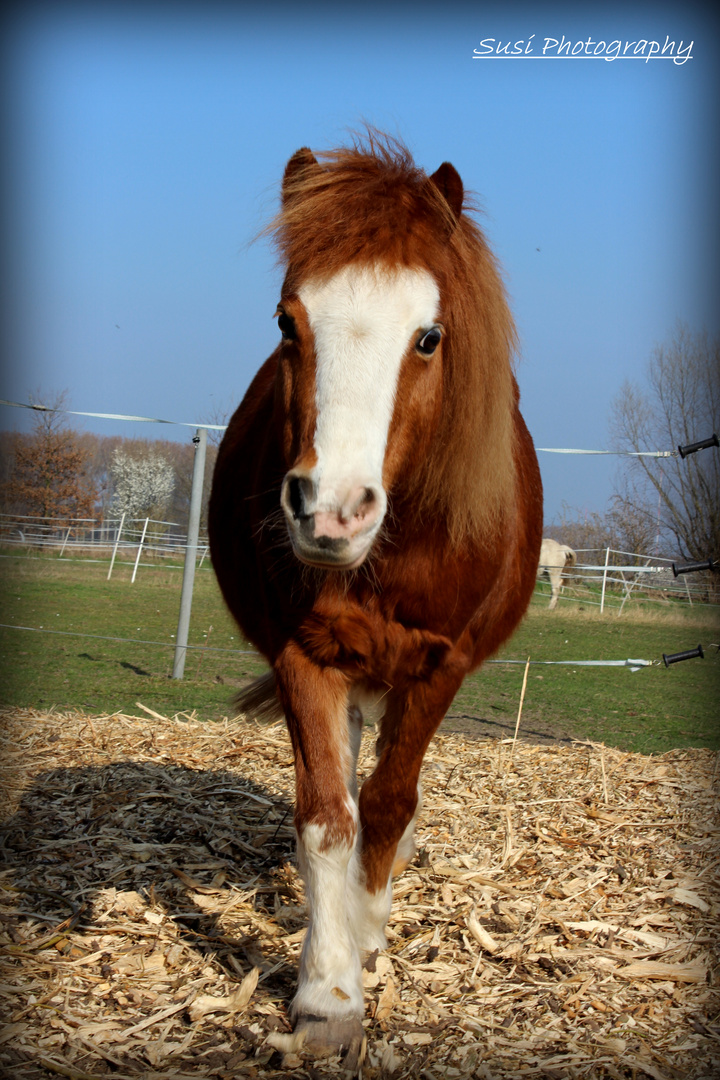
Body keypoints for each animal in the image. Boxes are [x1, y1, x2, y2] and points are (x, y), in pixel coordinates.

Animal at [208, 133, 543, 1064]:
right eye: (287, 324)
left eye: (428, 337)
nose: (330, 509)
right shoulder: (305, 656)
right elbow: (330, 817)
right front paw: (326, 995)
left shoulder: (438, 666)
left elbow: (391, 807)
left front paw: (362, 936)